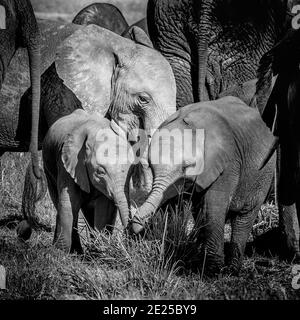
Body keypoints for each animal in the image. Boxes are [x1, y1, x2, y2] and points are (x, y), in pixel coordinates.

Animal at [42, 109, 134, 254]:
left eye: (132, 171)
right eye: (100, 172)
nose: (127, 244)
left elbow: (103, 207)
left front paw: (100, 252)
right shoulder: (66, 163)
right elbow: (69, 203)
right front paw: (60, 253)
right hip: (48, 168)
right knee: (60, 201)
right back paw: (77, 251)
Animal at [131, 96, 276, 276]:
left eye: (186, 167)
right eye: (150, 165)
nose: (133, 227)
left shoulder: (228, 164)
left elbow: (214, 206)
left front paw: (213, 272)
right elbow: (175, 203)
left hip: (264, 174)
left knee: (244, 217)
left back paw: (232, 270)